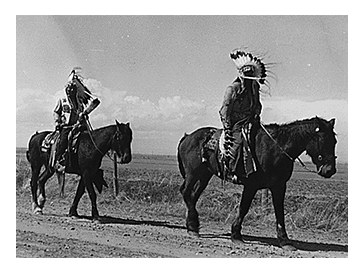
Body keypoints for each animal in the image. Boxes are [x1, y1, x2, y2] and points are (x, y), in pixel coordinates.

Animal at [178, 116, 336, 250]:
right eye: (324, 140)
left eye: (334, 141)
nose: (330, 170)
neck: (276, 148)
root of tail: (188, 137)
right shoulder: (251, 185)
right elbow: (243, 208)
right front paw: (236, 235)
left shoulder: (279, 186)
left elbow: (279, 211)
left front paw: (285, 241)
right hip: (193, 174)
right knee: (186, 192)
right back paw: (193, 228)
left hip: (204, 175)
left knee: (193, 196)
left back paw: (192, 226)